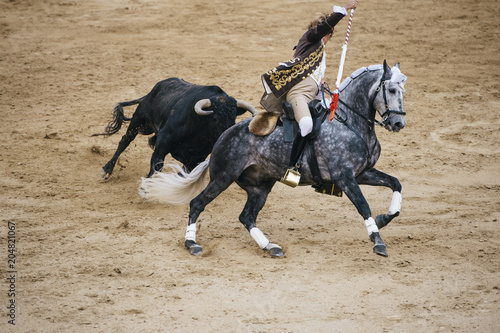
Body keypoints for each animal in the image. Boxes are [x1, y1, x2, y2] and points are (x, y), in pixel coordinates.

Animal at [93, 77, 256, 179]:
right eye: (215, 119)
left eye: (233, 118)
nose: (229, 137)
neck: (199, 131)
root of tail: (153, 90)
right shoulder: (164, 141)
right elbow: (157, 164)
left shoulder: (198, 157)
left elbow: (185, 173)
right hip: (138, 119)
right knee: (125, 141)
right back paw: (107, 170)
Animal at [140, 59, 406, 256]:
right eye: (392, 90)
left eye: (404, 91)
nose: (398, 123)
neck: (349, 122)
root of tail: (222, 138)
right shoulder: (345, 177)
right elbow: (363, 205)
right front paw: (377, 241)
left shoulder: (362, 173)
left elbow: (395, 183)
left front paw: (384, 218)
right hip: (223, 177)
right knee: (197, 203)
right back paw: (192, 244)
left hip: (260, 186)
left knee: (246, 216)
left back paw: (270, 246)